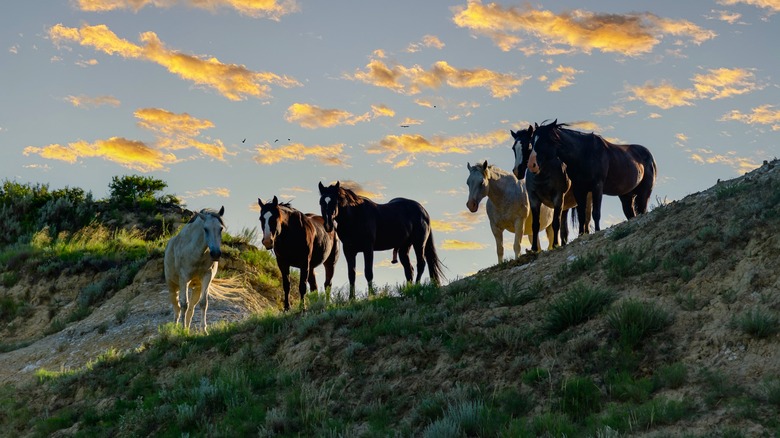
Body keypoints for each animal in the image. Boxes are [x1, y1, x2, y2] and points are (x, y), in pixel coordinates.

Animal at [532, 118, 660, 234]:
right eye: (533, 140)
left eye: (543, 140)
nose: (532, 164)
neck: (584, 153)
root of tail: (650, 157)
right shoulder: (579, 190)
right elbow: (582, 215)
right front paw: (581, 234)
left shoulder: (597, 187)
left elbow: (596, 213)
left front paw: (597, 230)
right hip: (626, 196)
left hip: (644, 193)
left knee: (642, 210)